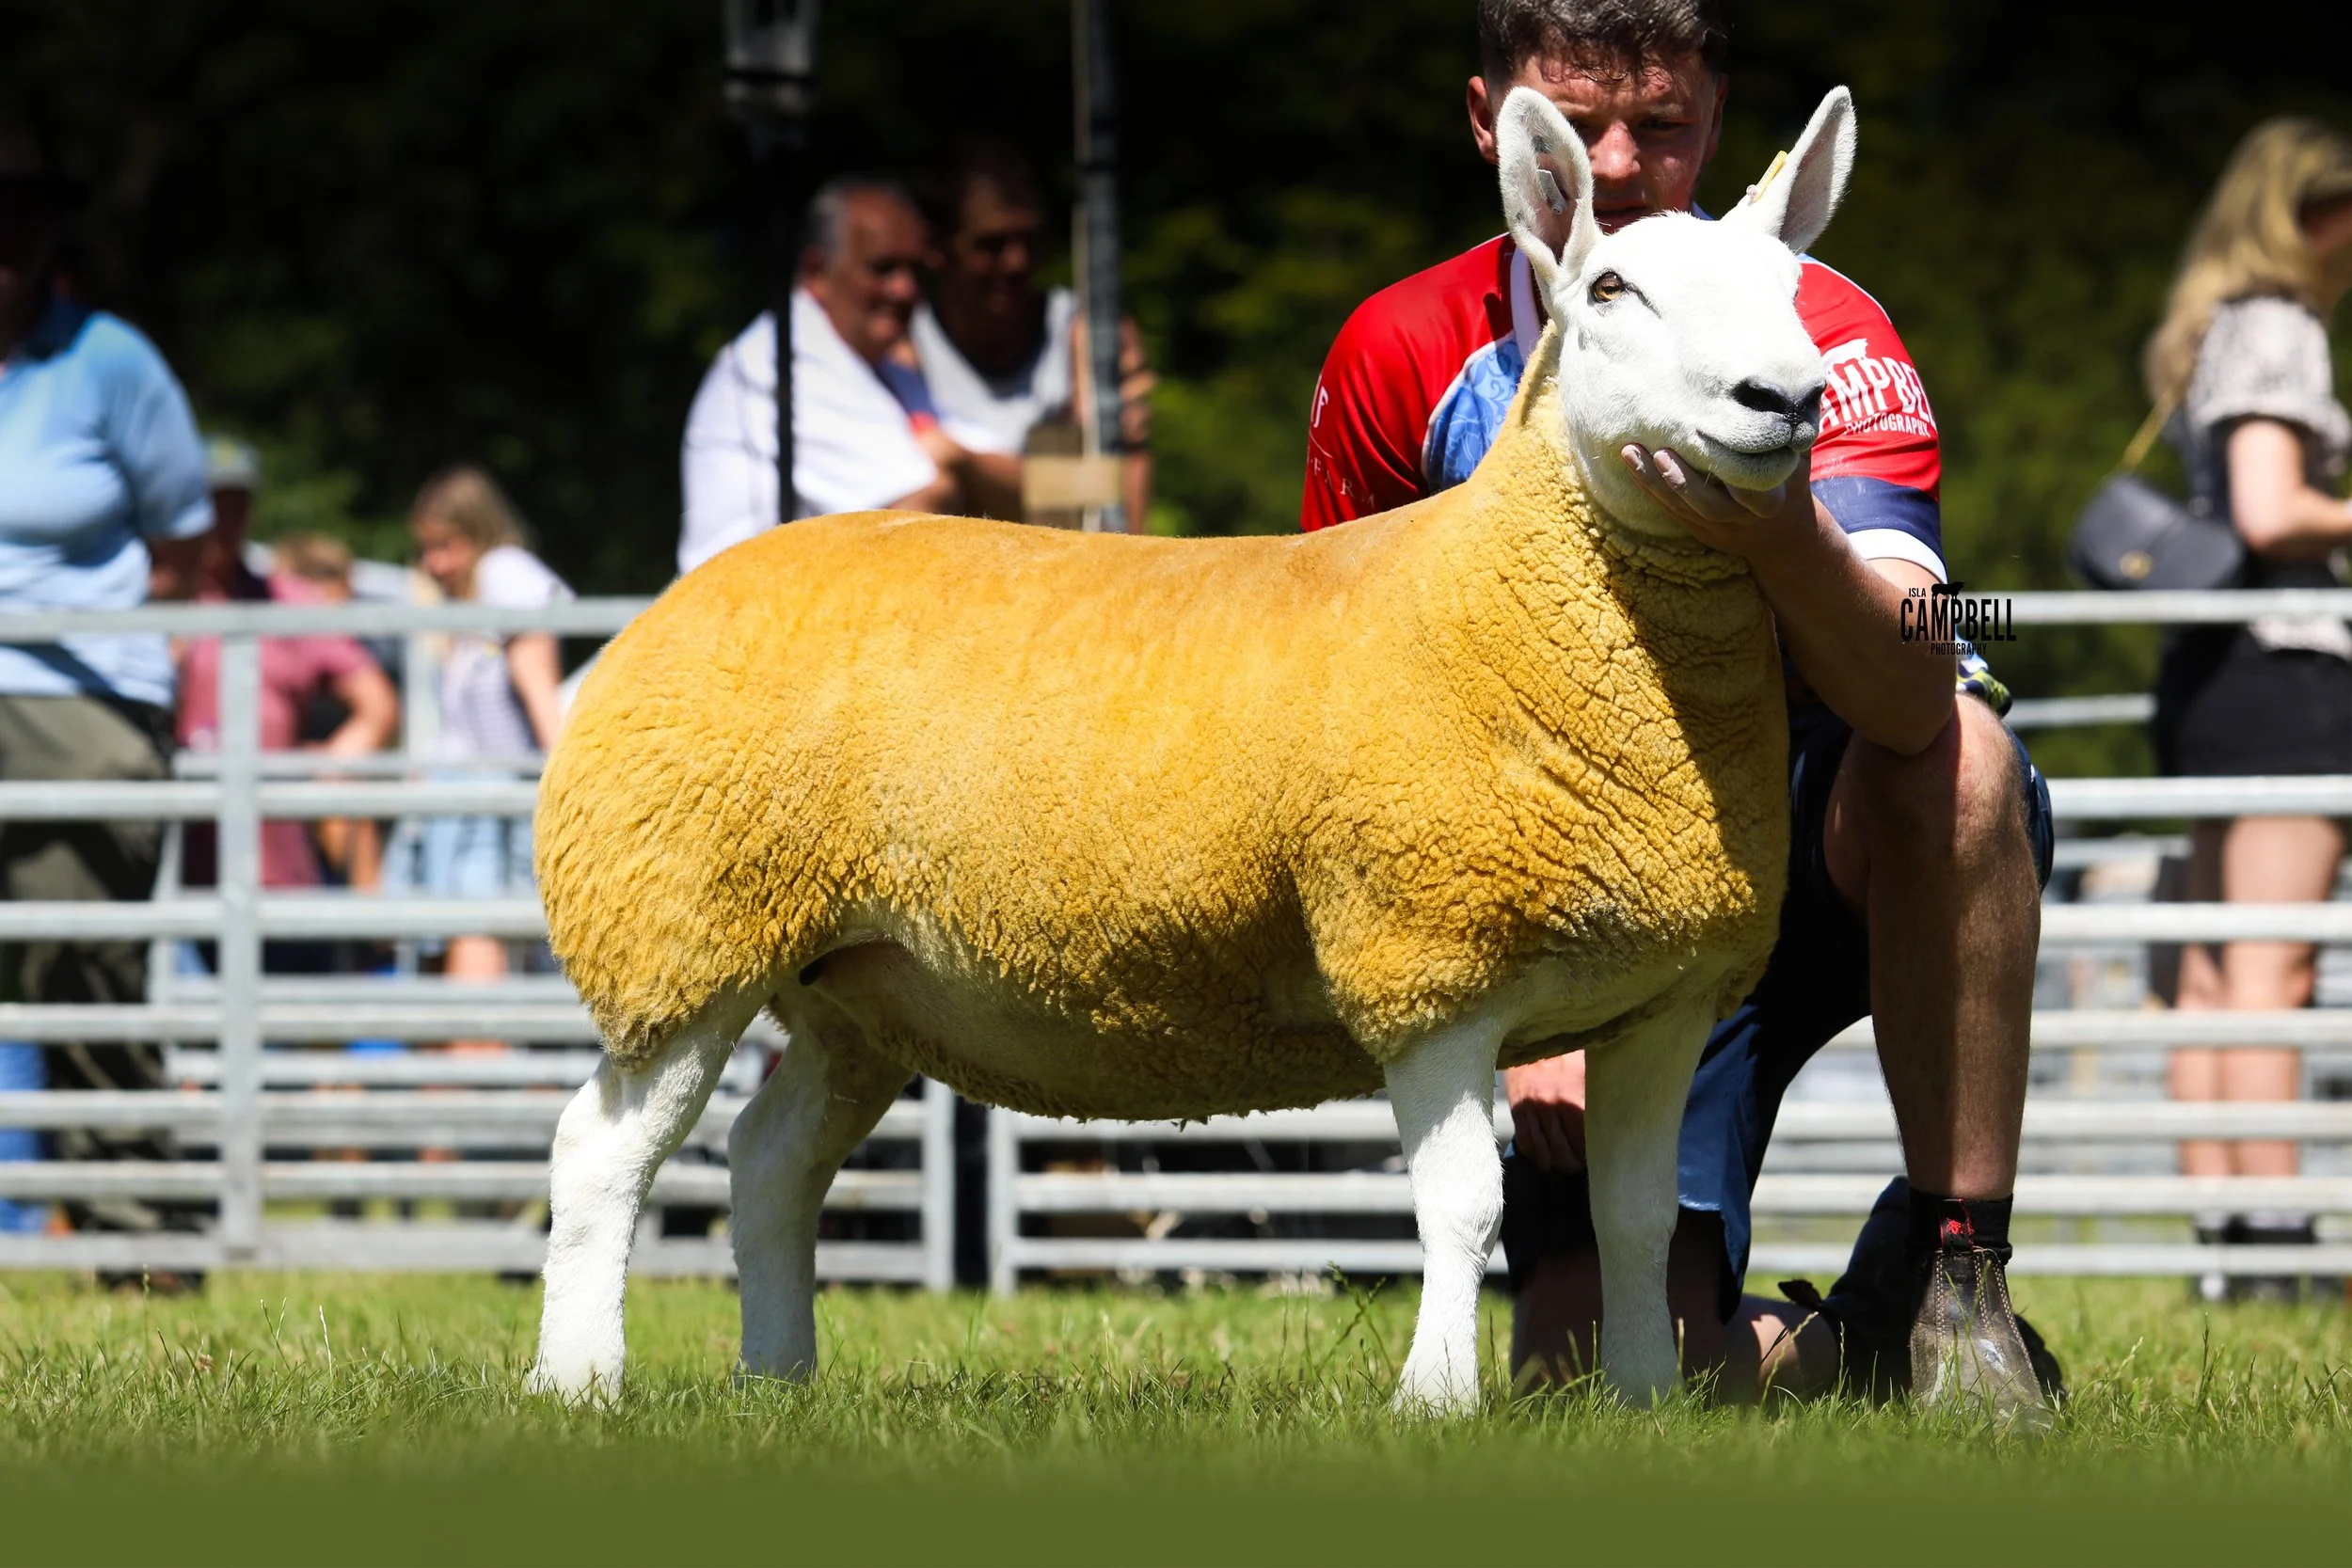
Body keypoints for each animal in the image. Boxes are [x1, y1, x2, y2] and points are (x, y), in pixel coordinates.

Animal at [526, 83, 1855, 1411]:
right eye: (1612, 289)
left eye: (1793, 285)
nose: (1784, 397)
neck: (1515, 600)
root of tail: (678, 594)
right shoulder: (1426, 961)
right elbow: (1464, 1207)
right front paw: (1436, 1396)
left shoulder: (1665, 996)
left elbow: (1638, 1220)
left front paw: (1645, 1399)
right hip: (678, 928)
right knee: (599, 1152)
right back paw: (579, 1379)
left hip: (853, 977)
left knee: (769, 1160)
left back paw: (777, 1377)